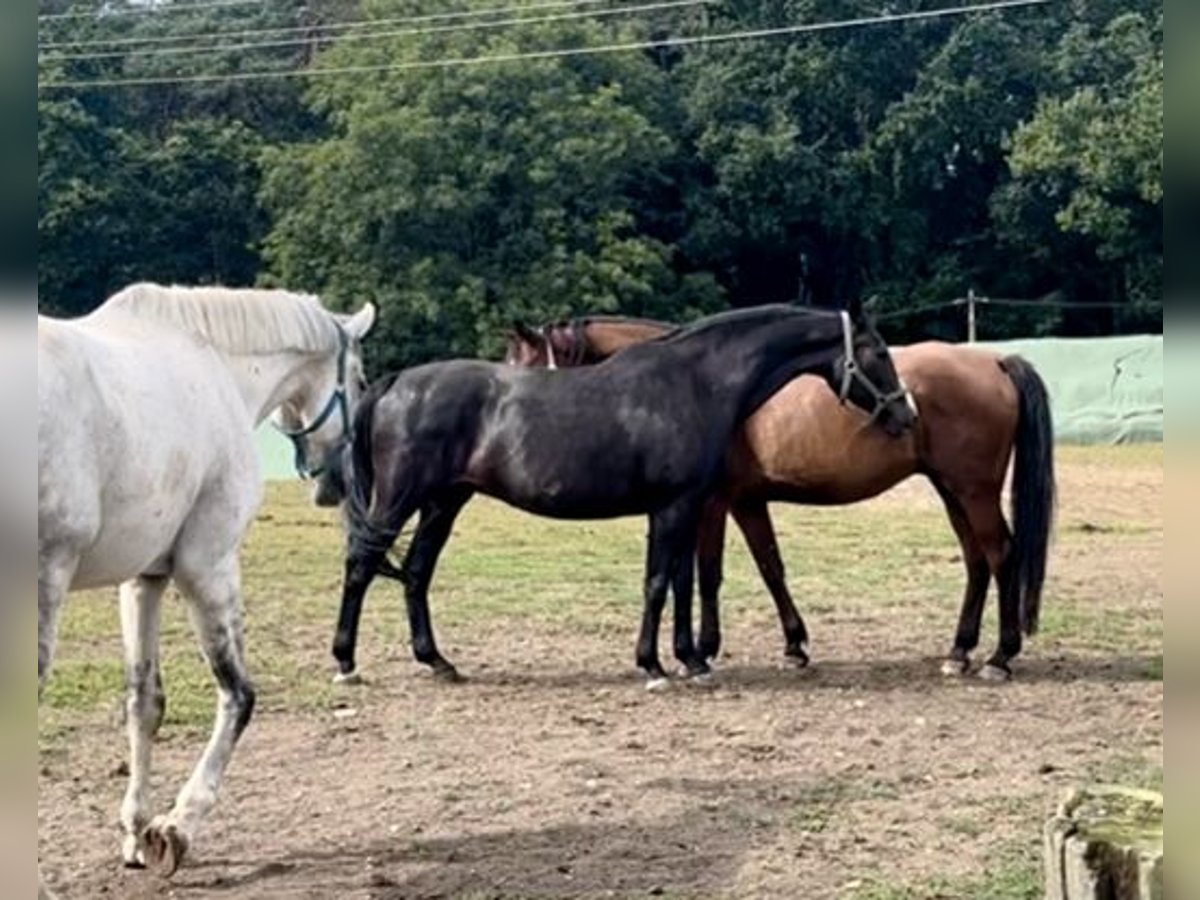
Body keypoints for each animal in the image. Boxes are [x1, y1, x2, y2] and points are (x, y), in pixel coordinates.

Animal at [38, 283, 376, 886]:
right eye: (359, 381)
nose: (337, 483)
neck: (217, 365)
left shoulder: (144, 580)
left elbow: (143, 703)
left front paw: (137, 832)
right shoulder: (208, 567)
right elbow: (239, 694)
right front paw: (177, 826)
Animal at [329, 302, 914, 689]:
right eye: (879, 352)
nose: (905, 414)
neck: (697, 383)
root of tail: (397, 383)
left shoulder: (688, 507)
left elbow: (681, 582)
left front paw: (691, 659)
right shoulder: (675, 506)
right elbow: (659, 583)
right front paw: (654, 665)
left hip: (443, 503)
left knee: (417, 572)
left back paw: (438, 662)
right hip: (400, 499)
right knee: (361, 565)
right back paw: (345, 663)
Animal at [506, 312, 1055, 681]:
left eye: (522, 361)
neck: (706, 386)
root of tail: (996, 361)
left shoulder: (713, 502)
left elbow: (706, 574)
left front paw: (701, 651)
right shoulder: (744, 502)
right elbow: (765, 567)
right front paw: (789, 646)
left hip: (974, 491)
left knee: (1001, 556)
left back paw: (1000, 658)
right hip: (952, 490)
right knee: (977, 560)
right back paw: (960, 652)